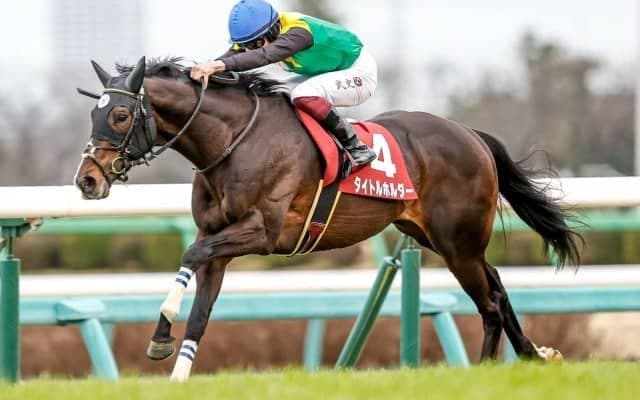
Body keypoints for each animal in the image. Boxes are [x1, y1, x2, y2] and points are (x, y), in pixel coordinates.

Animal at [74, 56, 582, 381]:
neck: (233, 142)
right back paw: (535, 354)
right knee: (497, 284)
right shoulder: (219, 239)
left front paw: (160, 332)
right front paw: (174, 366)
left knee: (490, 303)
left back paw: (486, 369)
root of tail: (470, 135)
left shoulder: (261, 232)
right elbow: (200, 309)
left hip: (457, 242)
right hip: (440, 238)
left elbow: (190, 253)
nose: (87, 180)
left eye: (120, 115)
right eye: (94, 114)